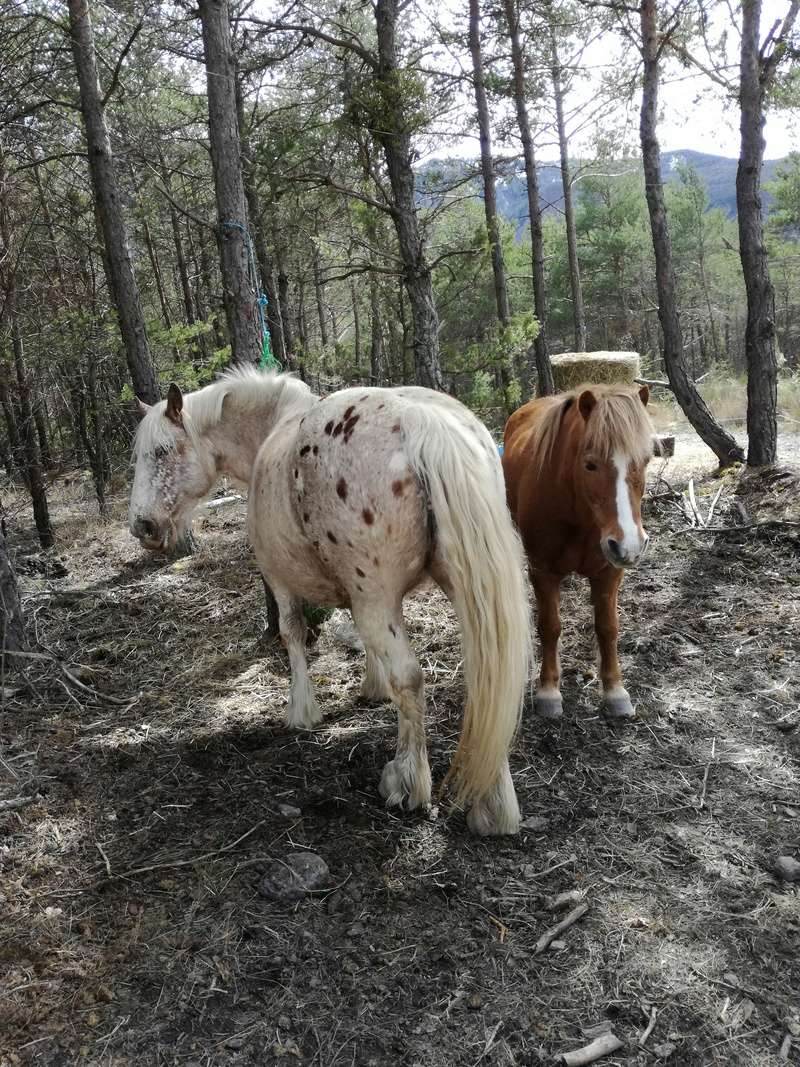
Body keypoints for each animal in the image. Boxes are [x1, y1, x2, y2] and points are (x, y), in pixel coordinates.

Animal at [130, 371, 533, 836]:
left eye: (161, 451)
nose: (141, 525)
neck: (271, 428)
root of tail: (421, 421)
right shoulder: (356, 595)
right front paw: (371, 688)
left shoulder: (281, 581)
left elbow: (292, 634)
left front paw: (302, 711)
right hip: (465, 589)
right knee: (488, 672)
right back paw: (493, 805)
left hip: (379, 598)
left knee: (412, 679)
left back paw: (407, 781)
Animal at [503, 384, 652, 725]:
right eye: (590, 464)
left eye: (646, 459)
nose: (630, 545)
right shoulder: (543, 571)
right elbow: (550, 626)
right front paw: (548, 691)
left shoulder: (609, 573)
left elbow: (607, 628)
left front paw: (615, 691)